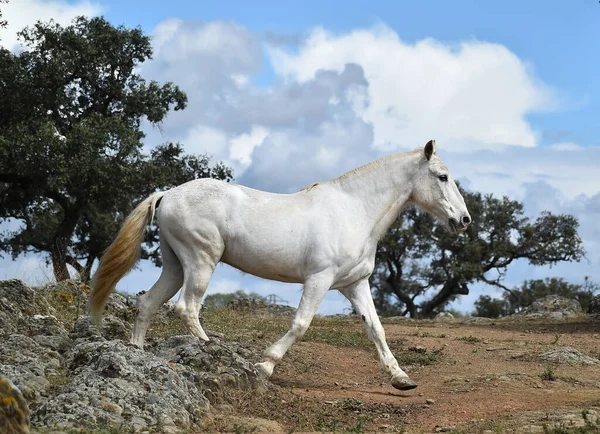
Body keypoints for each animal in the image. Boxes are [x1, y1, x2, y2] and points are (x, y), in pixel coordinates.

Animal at [91, 139, 472, 390]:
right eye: (441, 176)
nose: (464, 220)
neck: (353, 210)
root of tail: (167, 194)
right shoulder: (319, 280)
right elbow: (301, 324)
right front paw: (264, 366)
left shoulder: (355, 284)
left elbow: (375, 328)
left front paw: (401, 378)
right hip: (201, 260)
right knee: (187, 307)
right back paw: (216, 352)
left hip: (175, 265)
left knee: (148, 303)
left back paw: (138, 356)